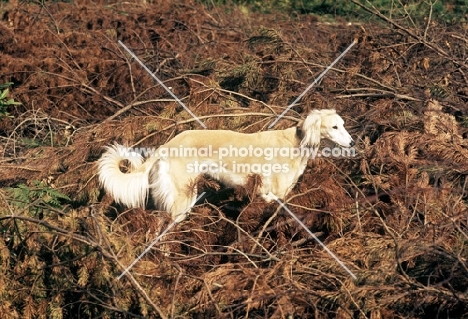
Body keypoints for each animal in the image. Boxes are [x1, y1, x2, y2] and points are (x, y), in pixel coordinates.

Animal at [98, 110, 354, 222]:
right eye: (334, 127)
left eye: (342, 124)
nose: (353, 143)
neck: (297, 142)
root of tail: (169, 143)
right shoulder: (276, 194)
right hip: (183, 197)